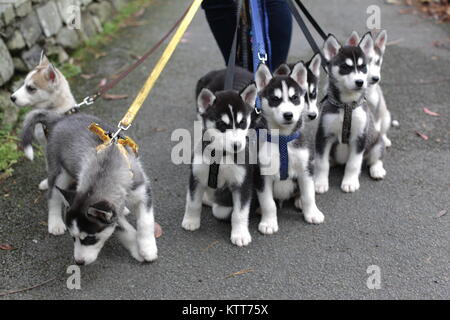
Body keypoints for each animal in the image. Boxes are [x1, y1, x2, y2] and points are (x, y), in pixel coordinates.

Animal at [21, 110, 158, 264]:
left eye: (89, 239)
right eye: (73, 238)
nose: (78, 262)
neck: (104, 169)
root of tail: (60, 119)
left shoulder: (143, 192)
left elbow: (146, 222)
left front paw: (147, 248)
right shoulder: (113, 216)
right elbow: (126, 230)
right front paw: (137, 249)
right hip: (59, 173)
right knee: (53, 197)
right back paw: (55, 223)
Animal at [180, 74, 256, 249]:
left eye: (242, 123)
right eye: (221, 124)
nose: (237, 146)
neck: (220, 156)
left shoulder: (242, 183)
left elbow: (239, 213)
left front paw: (240, 234)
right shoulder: (196, 175)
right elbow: (192, 202)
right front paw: (191, 221)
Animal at [253, 60, 324, 235]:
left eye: (295, 98)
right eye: (275, 99)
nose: (288, 115)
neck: (283, 139)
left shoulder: (305, 168)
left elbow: (309, 195)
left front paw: (312, 213)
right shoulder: (261, 173)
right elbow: (268, 202)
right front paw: (268, 222)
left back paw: (298, 200)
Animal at [312, 33, 386, 194]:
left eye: (363, 67)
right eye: (345, 67)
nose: (360, 82)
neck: (346, 106)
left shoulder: (360, 137)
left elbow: (353, 164)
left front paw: (350, 182)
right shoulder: (323, 135)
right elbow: (322, 163)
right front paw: (320, 182)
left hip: (376, 142)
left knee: (375, 158)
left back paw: (377, 169)